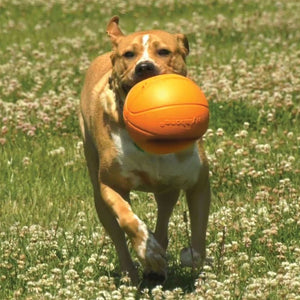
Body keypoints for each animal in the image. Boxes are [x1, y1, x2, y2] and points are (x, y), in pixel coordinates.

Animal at [79, 15, 211, 284]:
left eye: (164, 51)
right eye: (129, 54)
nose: (144, 67)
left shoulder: (199, 182)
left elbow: (199, 234)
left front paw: (190, 257)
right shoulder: (111, 184)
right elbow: (128, 219)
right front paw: (148, 250)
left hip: (168, 189)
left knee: (164, 216)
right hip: (98, 193)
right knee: (118, 235)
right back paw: (136, 271)